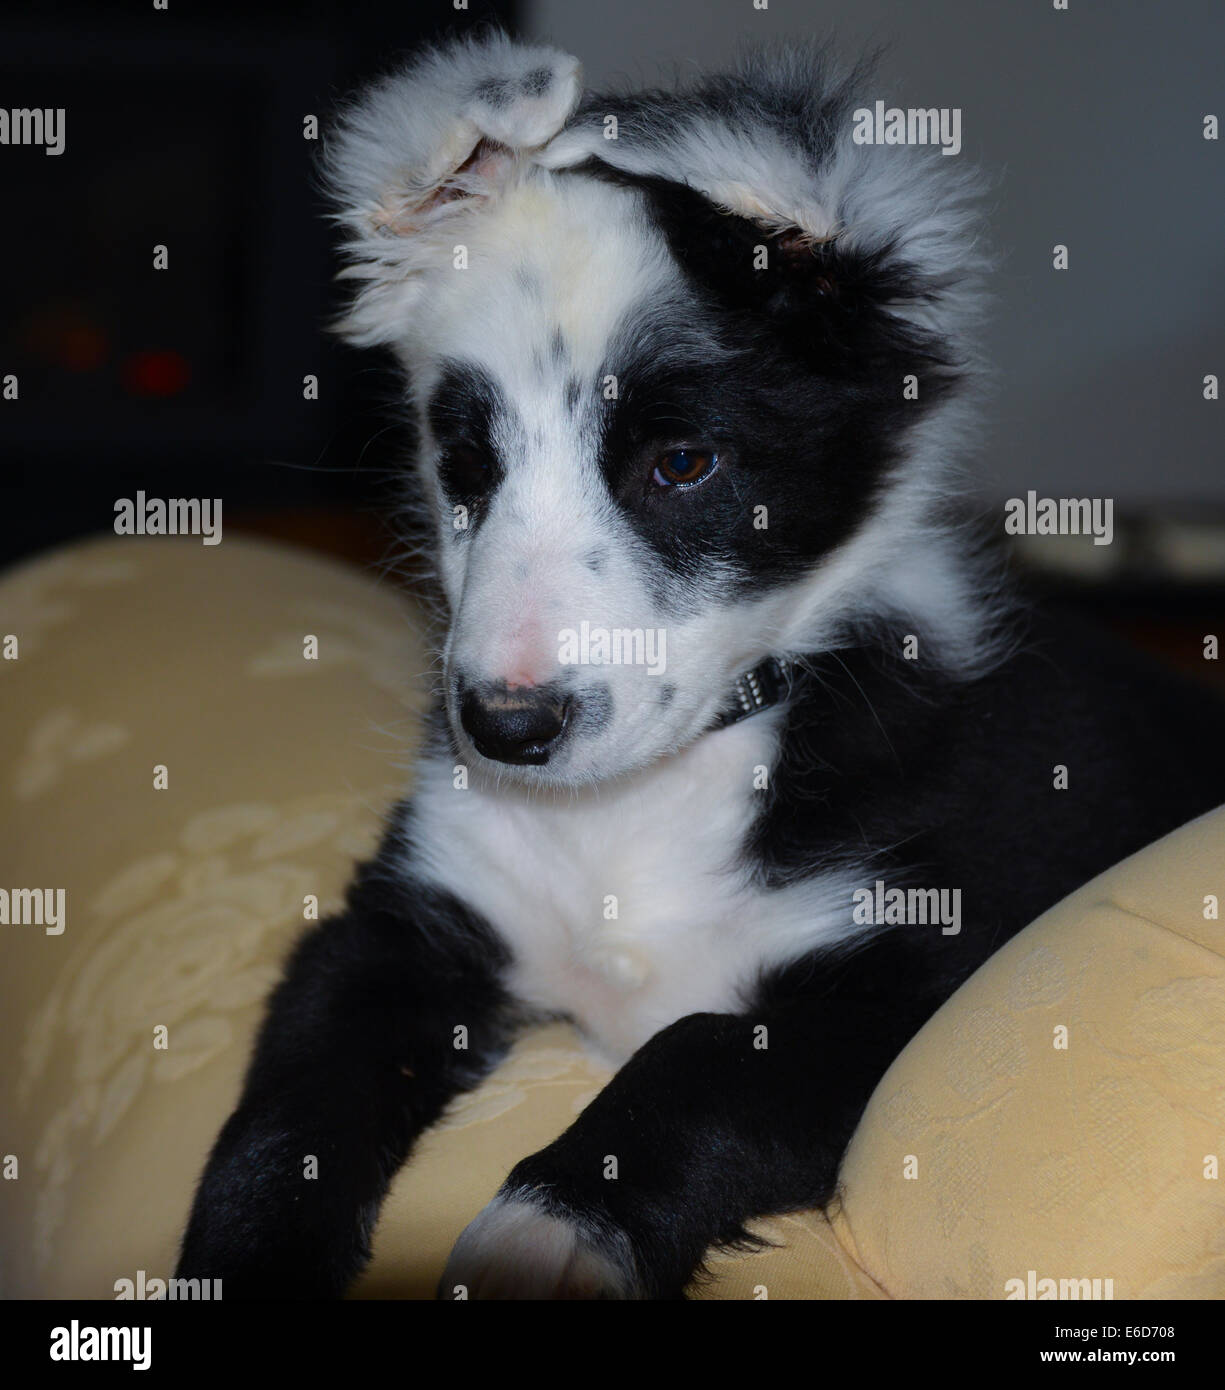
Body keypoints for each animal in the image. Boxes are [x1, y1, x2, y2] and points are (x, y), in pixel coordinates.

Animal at [176, 35, 1223, 1301]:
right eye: (464, 459)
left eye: (683, 462)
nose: (506, 727)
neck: (635, 812)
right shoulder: (400, 925)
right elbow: (288, 1106)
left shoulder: (917, 988)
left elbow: (699, 1055)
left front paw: (549, 1229)